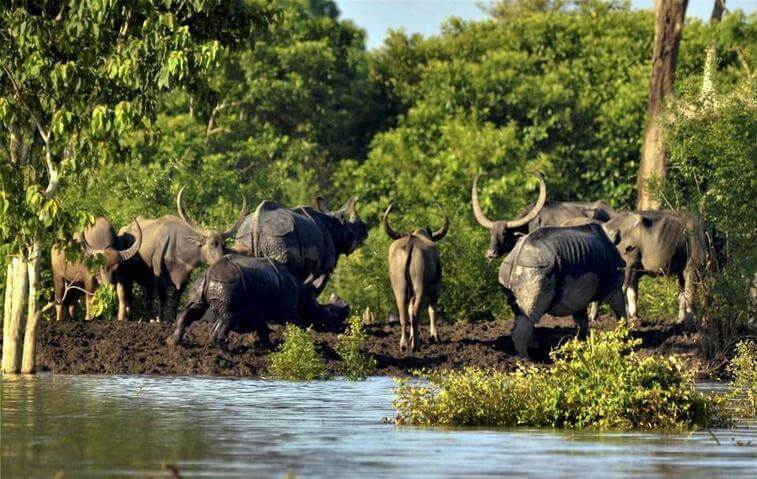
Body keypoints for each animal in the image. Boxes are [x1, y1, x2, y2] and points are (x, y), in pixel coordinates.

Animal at [116, 188, 245, 322]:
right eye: (211, 243)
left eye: (223, 245)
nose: (221, 260)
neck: (178, 253)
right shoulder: (159, 278)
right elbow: (163, 299)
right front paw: (161, 319)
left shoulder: (183, 280)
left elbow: (175, 301)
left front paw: (173, 319)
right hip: (127, 276)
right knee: (127, 296)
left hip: (147, 282)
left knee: (147, 300)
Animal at [167, 255, 350, 348]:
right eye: (327, 314)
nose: (338, 330)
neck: (303, 293)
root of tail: (210, 273)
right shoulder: (289, 309)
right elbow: (299, 325)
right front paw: (307, 342)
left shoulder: (259, 309)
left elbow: (262, 329)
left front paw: (268, 347)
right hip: (227, 285)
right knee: (227, 316)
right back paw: (223, 349)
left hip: (201, 283)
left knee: (196, 308)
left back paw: (174, 342)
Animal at [233, 196, 370, 294]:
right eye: (355, 227)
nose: (365, 232)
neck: (335, 225)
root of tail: (256, 223)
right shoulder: (324, 267)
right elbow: (316, 289)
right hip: (278, 237)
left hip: (245, 238)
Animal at [384, 202, 448, 352]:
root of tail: (410, 243)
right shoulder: (436, 289)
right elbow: (432, 310)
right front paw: (434, 336)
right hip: (420, 288)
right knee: (416, 313)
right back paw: (415, 345)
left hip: (399, 289)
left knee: (404, 314)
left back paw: (404, 344)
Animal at [496, 224, 628, 356]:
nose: (624, 264)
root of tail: (516, 256)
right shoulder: (614, 287)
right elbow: (621, 311)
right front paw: (624, 338)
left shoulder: (579, 294)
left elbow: (582, 322)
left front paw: (583, 346)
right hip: (535, 268)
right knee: (530, 316)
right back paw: (526, 359)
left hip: (516, 268)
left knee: (522, 315)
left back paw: (532, 350)